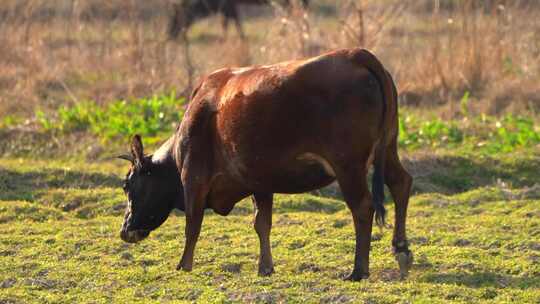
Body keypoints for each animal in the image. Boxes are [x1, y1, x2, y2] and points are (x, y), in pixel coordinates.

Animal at [119, 47, 414, 280]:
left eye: (127, 185)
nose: (125, 230)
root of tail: (356, 54)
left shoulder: (193, 178)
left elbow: (192, 225)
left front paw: (183, 265)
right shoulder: (259, 180)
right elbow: (262, 223)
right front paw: (265, 267)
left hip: (348, 165)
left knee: (363, 207)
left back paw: (358, 270)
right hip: (388, 148)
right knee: (401, 183)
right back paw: (401, 250)